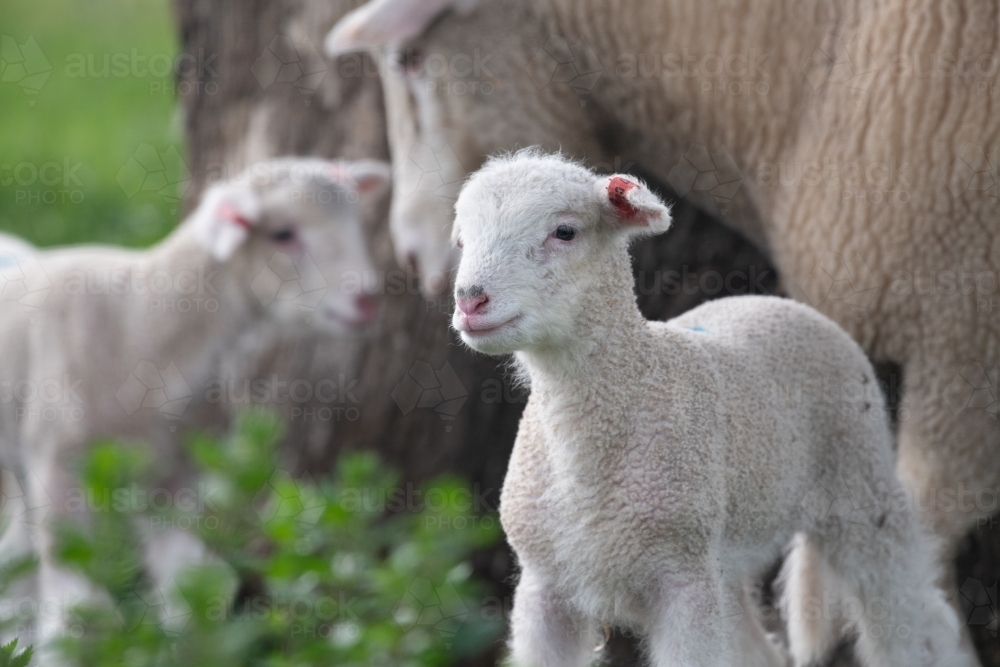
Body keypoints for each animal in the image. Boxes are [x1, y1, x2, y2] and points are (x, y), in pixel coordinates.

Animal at [0, 155, 388, 648]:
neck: (141, 318)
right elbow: (78, 611)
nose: (368, 299)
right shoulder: (58, 466)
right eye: (283, 234)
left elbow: (192, 584)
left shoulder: (174, 472)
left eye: (356, 222)